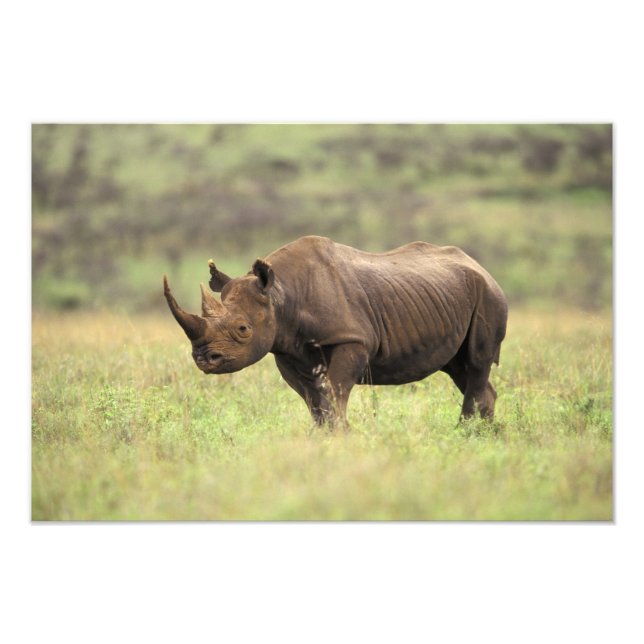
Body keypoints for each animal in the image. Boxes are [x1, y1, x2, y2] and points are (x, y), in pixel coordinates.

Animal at [164, 235, 508, 427]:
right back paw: (484, 437)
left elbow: (334, 390)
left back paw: (465, 434)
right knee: (460, 369)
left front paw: (341, 435)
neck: (281, 294)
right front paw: (323, 437)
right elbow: (313, 399)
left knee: (476, 363)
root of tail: (483, 268)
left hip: (489, 296)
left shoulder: (351, 339)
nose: (204, 359)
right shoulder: (286, 348)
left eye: (243, 328)